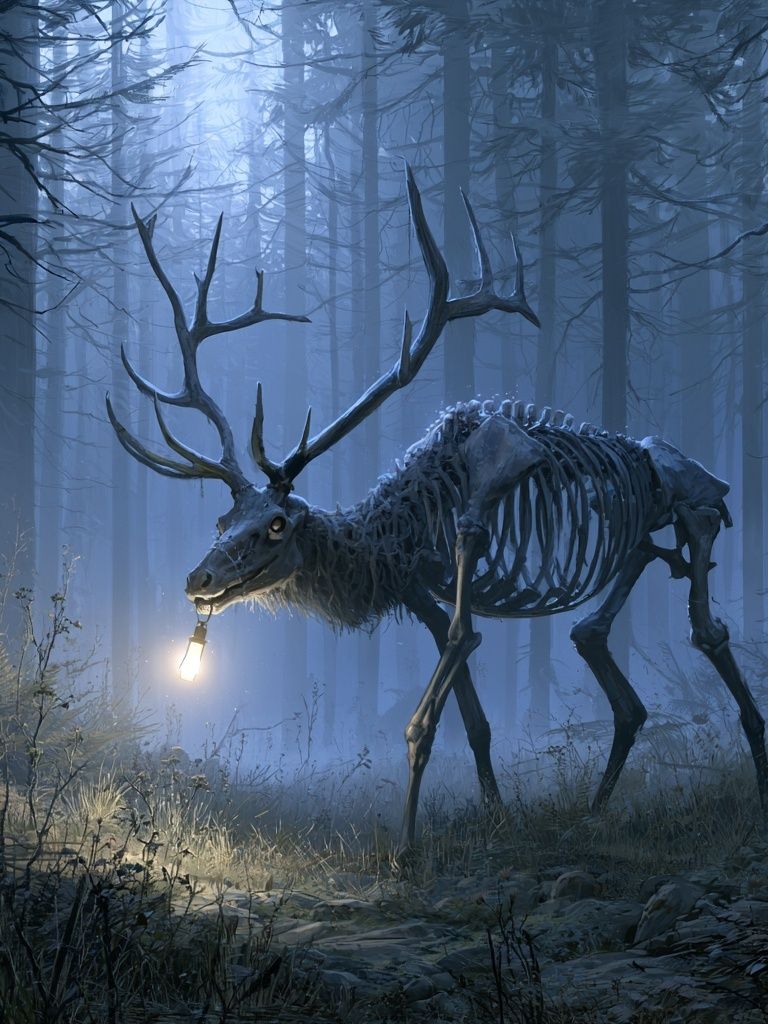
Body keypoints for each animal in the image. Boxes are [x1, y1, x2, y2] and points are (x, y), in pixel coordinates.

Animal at [108, 166, 768, 868]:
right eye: (221, 522)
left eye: (277, 524)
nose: (197, 580)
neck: (397, 536)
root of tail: (694, 469)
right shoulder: (422, 591)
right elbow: (475, 722)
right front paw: (498, 818)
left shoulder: (466, 546)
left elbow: (430, 706)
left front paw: (405, 850)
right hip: (638, 538)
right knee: (601, 646)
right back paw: (592, 814)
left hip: (695, 511)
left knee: (708, 630)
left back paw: (755, 792)